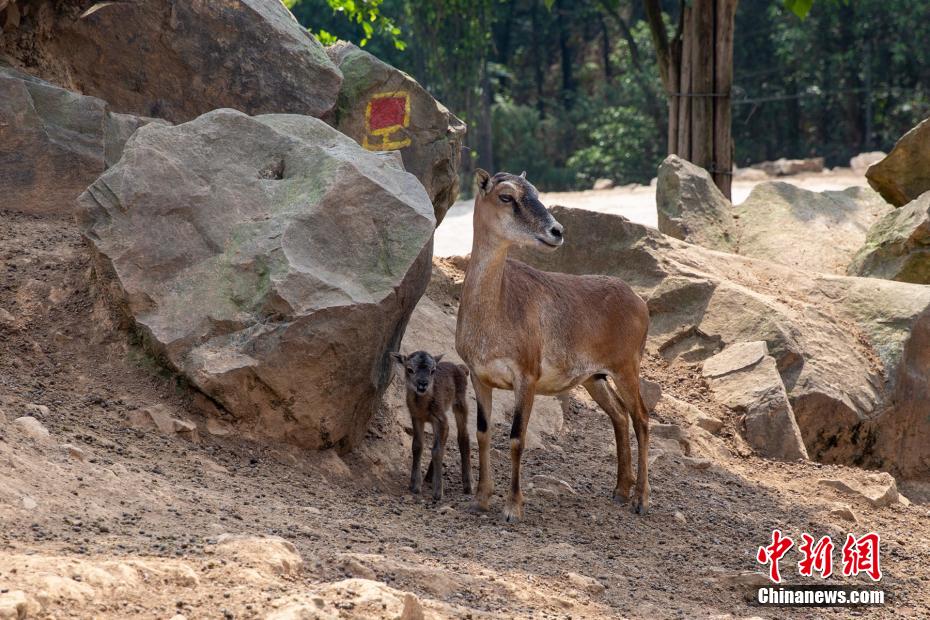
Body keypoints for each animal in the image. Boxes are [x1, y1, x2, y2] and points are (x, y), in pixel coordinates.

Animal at [390, 352, 472, 502]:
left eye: (432, 370)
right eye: (409, 369)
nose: (423, 384)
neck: (423, 408)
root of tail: (461, 368)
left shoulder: (440, 418)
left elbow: (437, 451)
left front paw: (438, 492)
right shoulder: (416, 417)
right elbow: (417, 446)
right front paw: (414, 485)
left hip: (460, 402)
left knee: (463, 436)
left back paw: (468, 486)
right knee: (446, 435)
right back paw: (428, 477)